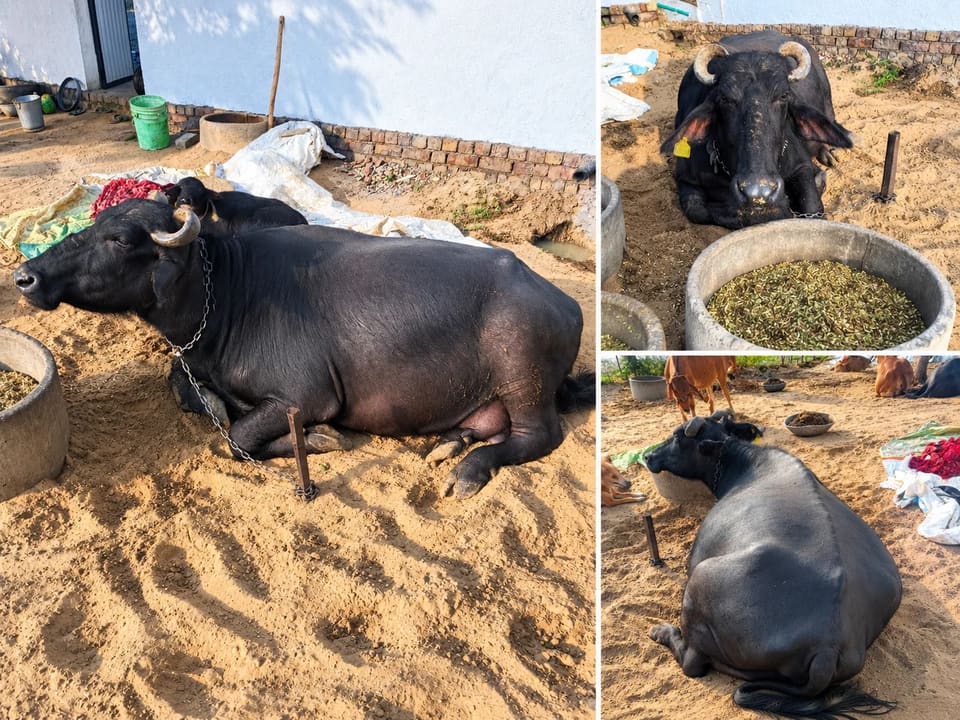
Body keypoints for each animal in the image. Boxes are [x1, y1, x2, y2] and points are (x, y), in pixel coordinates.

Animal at [13, 199, 592, 498]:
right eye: (92, 225)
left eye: (120, 240)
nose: (26, 276)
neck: (226, 295)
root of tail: (564, 302)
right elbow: (184, 388)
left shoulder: (306, 398)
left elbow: (238, 438)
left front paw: (318, 440)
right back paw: (451, 443)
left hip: (521, 373)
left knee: (539, 434)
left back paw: (467, 471)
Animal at [645, 413, 901, 718]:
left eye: (676, 436)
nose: (648, 455)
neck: (745, 464)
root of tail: (828, 646)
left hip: (700, 582)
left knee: (693, 663)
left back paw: (661, 631)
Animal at [662, 30, 853, 228]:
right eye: (724, 98)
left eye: (784, 95)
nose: (759, 191)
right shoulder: (685, 180)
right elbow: (699, 212)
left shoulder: (802, 166)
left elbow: (813, 207)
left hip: (828, 103)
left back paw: (829, 152)